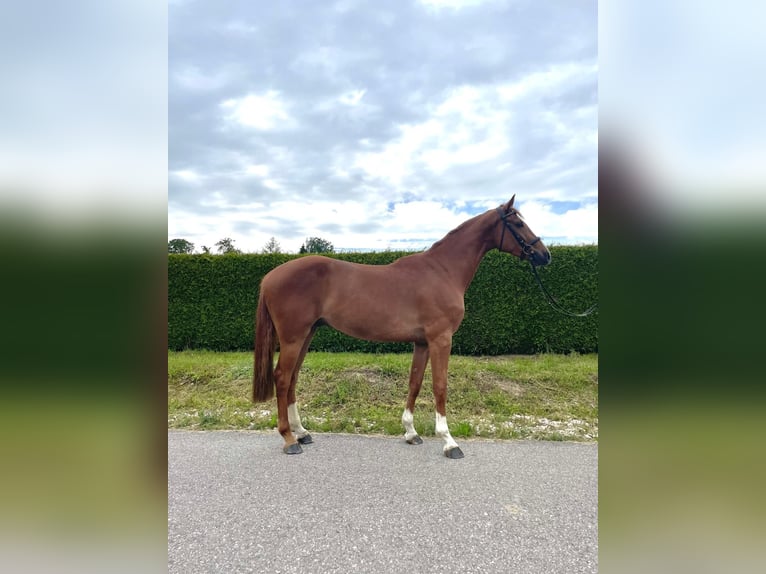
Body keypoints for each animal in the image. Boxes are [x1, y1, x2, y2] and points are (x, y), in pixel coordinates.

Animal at [256, 198, 552, 460]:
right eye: (518, 223)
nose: (544, 255)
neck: (443, 271)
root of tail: (269, 276)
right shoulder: (441, 339)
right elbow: (440, 385)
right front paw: (449, 442)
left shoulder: (422, 342)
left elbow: (415, 382)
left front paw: (411, 432)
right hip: (294, 337)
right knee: (282, 377)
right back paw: (289, 439)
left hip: (307, 334)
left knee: (293, 378)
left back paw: (302, 432)